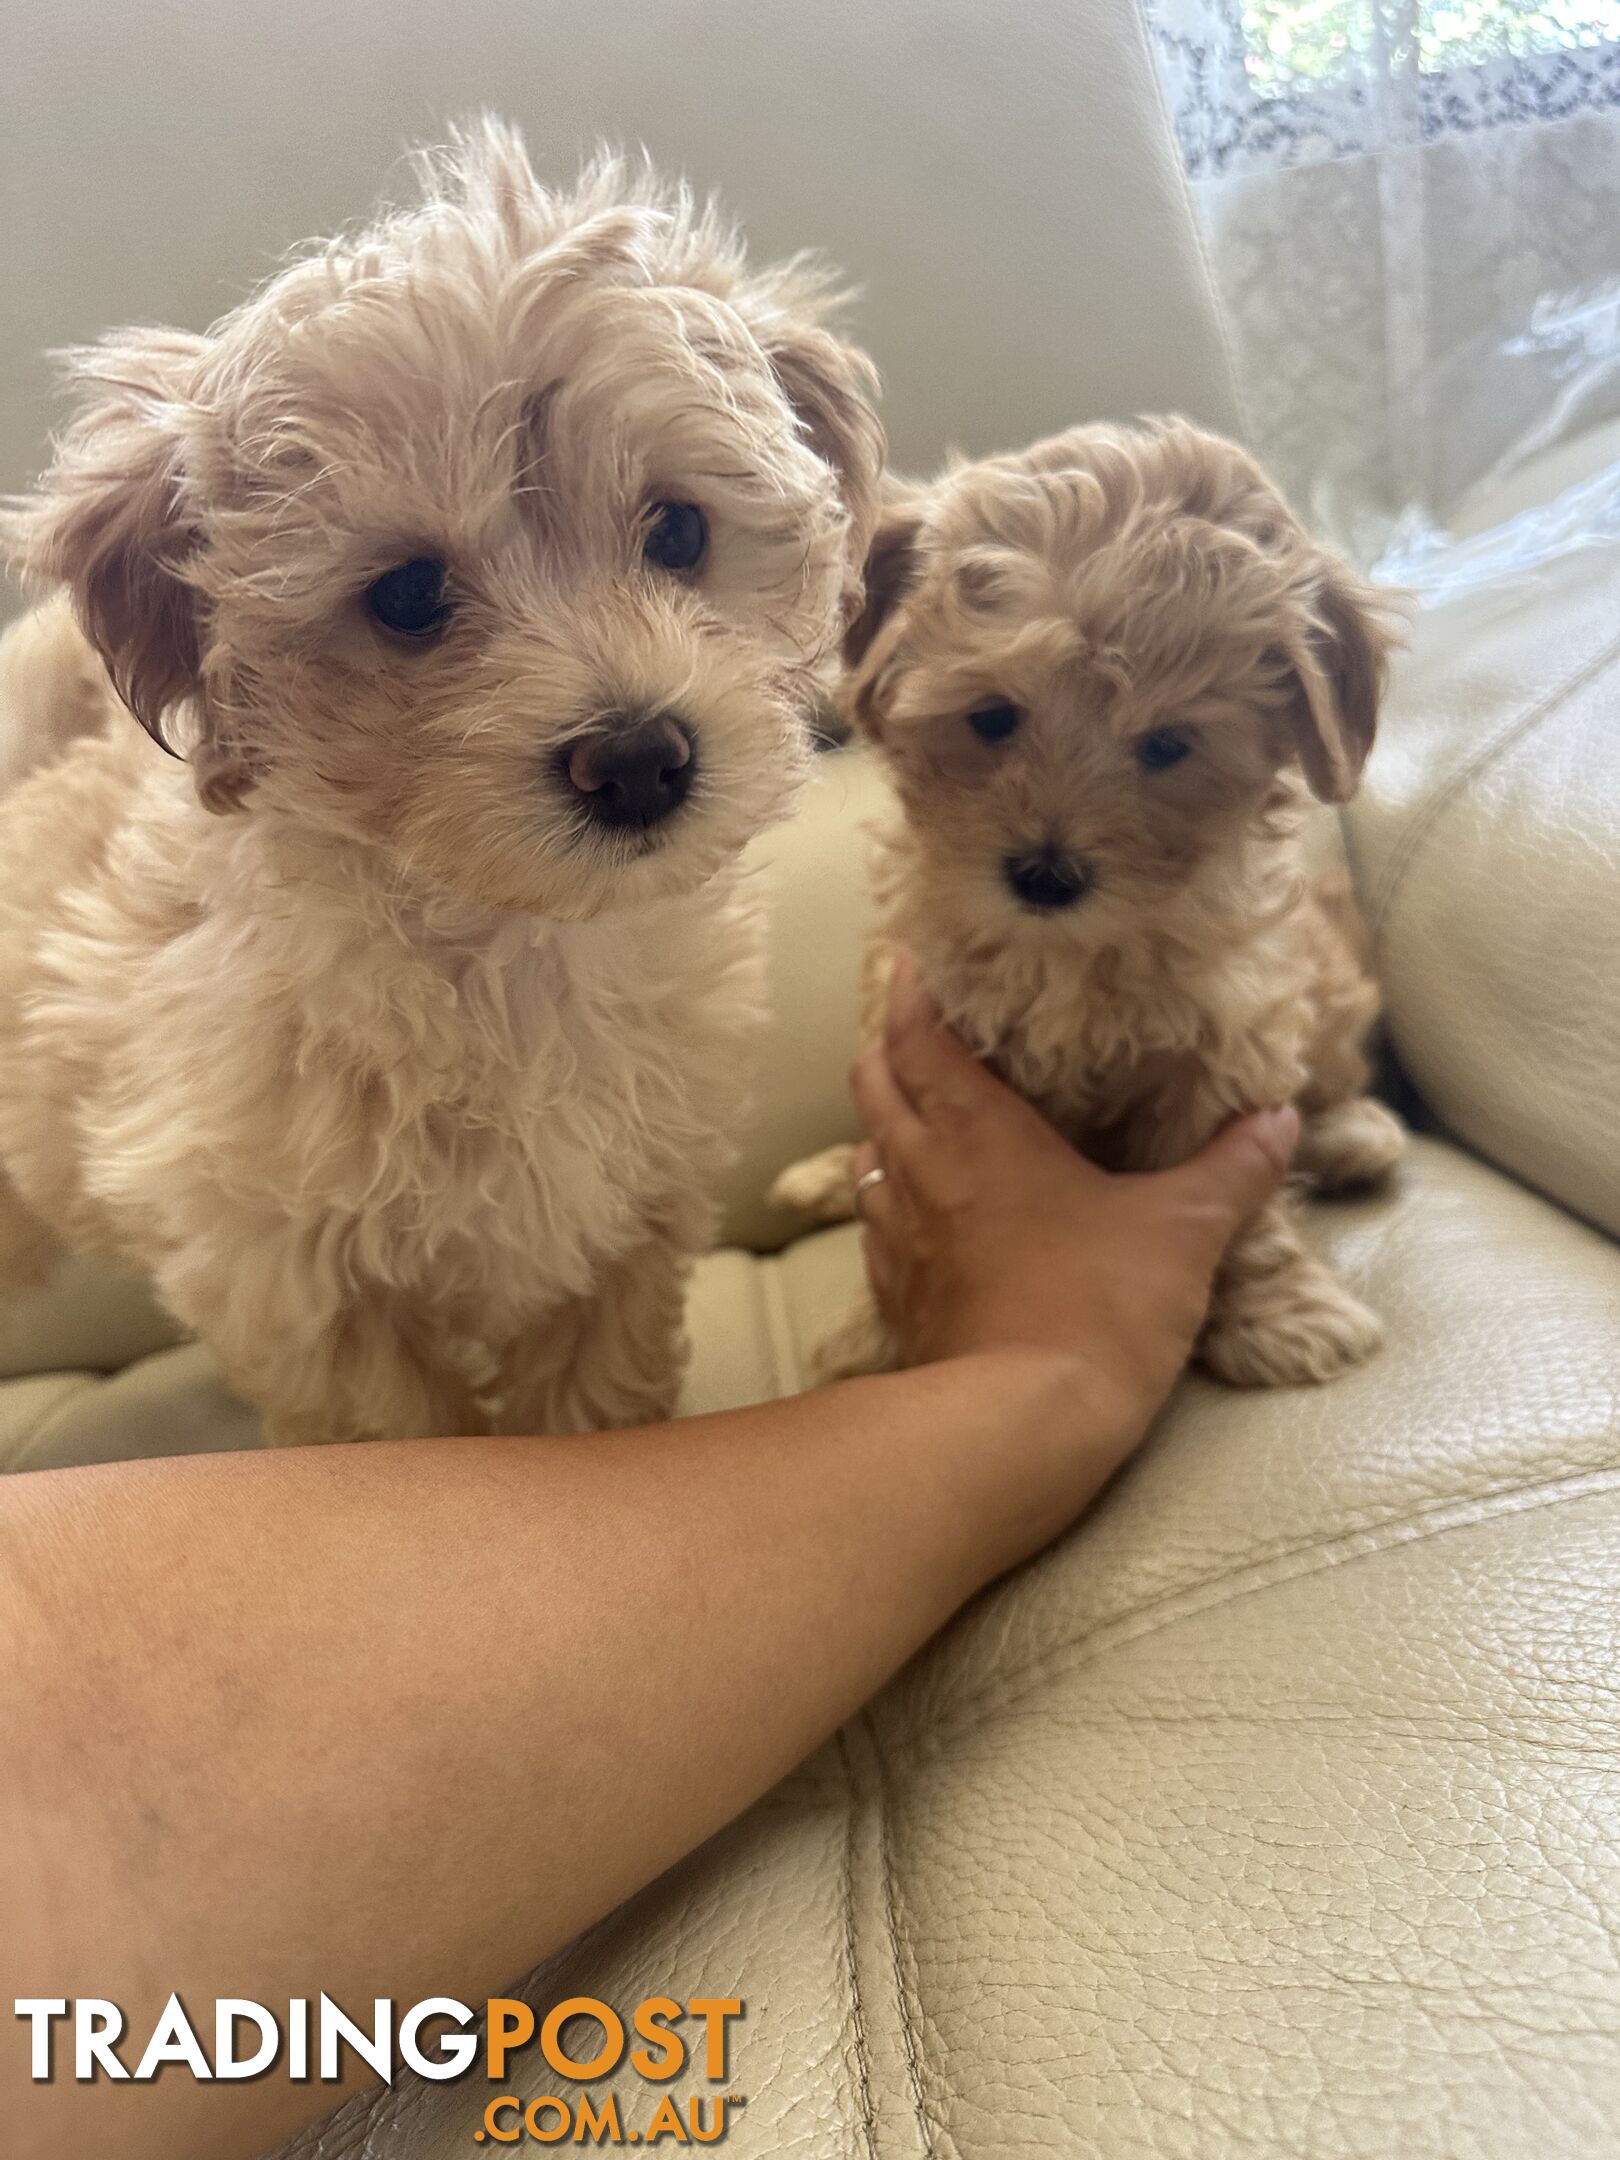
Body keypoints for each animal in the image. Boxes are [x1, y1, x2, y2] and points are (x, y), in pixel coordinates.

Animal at [0, 113, 889, 1434]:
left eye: (678, 530)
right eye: (410, 596)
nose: (638, 760)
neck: (512, 945)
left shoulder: (628, 1223)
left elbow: (598, 1397)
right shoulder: (296, 1282)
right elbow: (406, 1434)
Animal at [773, 421, 1408, 1391]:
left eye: (1168, 745)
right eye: (993, 717)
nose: (1045, 874)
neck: (1067, 956)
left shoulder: (1227, 1041)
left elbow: (1238, 1209)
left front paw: (1278, 1312)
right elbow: (894, 1180)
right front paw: (877, 1332)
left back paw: (1354, 1136)